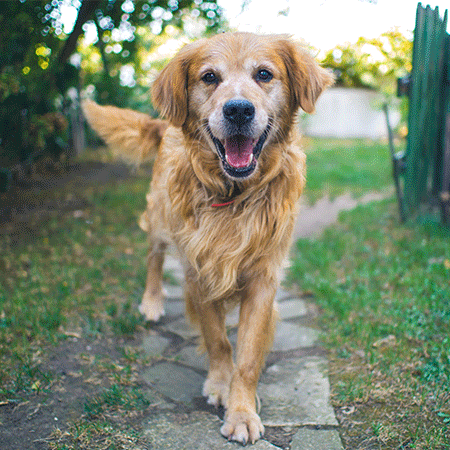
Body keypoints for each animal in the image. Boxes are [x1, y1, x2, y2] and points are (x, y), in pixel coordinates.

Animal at [82, 32, 332, 446]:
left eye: (264, 74)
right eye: (210, 77)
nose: (238, 110)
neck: (234, 195)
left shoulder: (263, 278)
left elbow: (247, 355)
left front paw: (242, 409)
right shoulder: (199, 270)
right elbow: (218, 339)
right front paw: (219, 383)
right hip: (160, 219)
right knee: (153, 257)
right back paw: (152, 302)